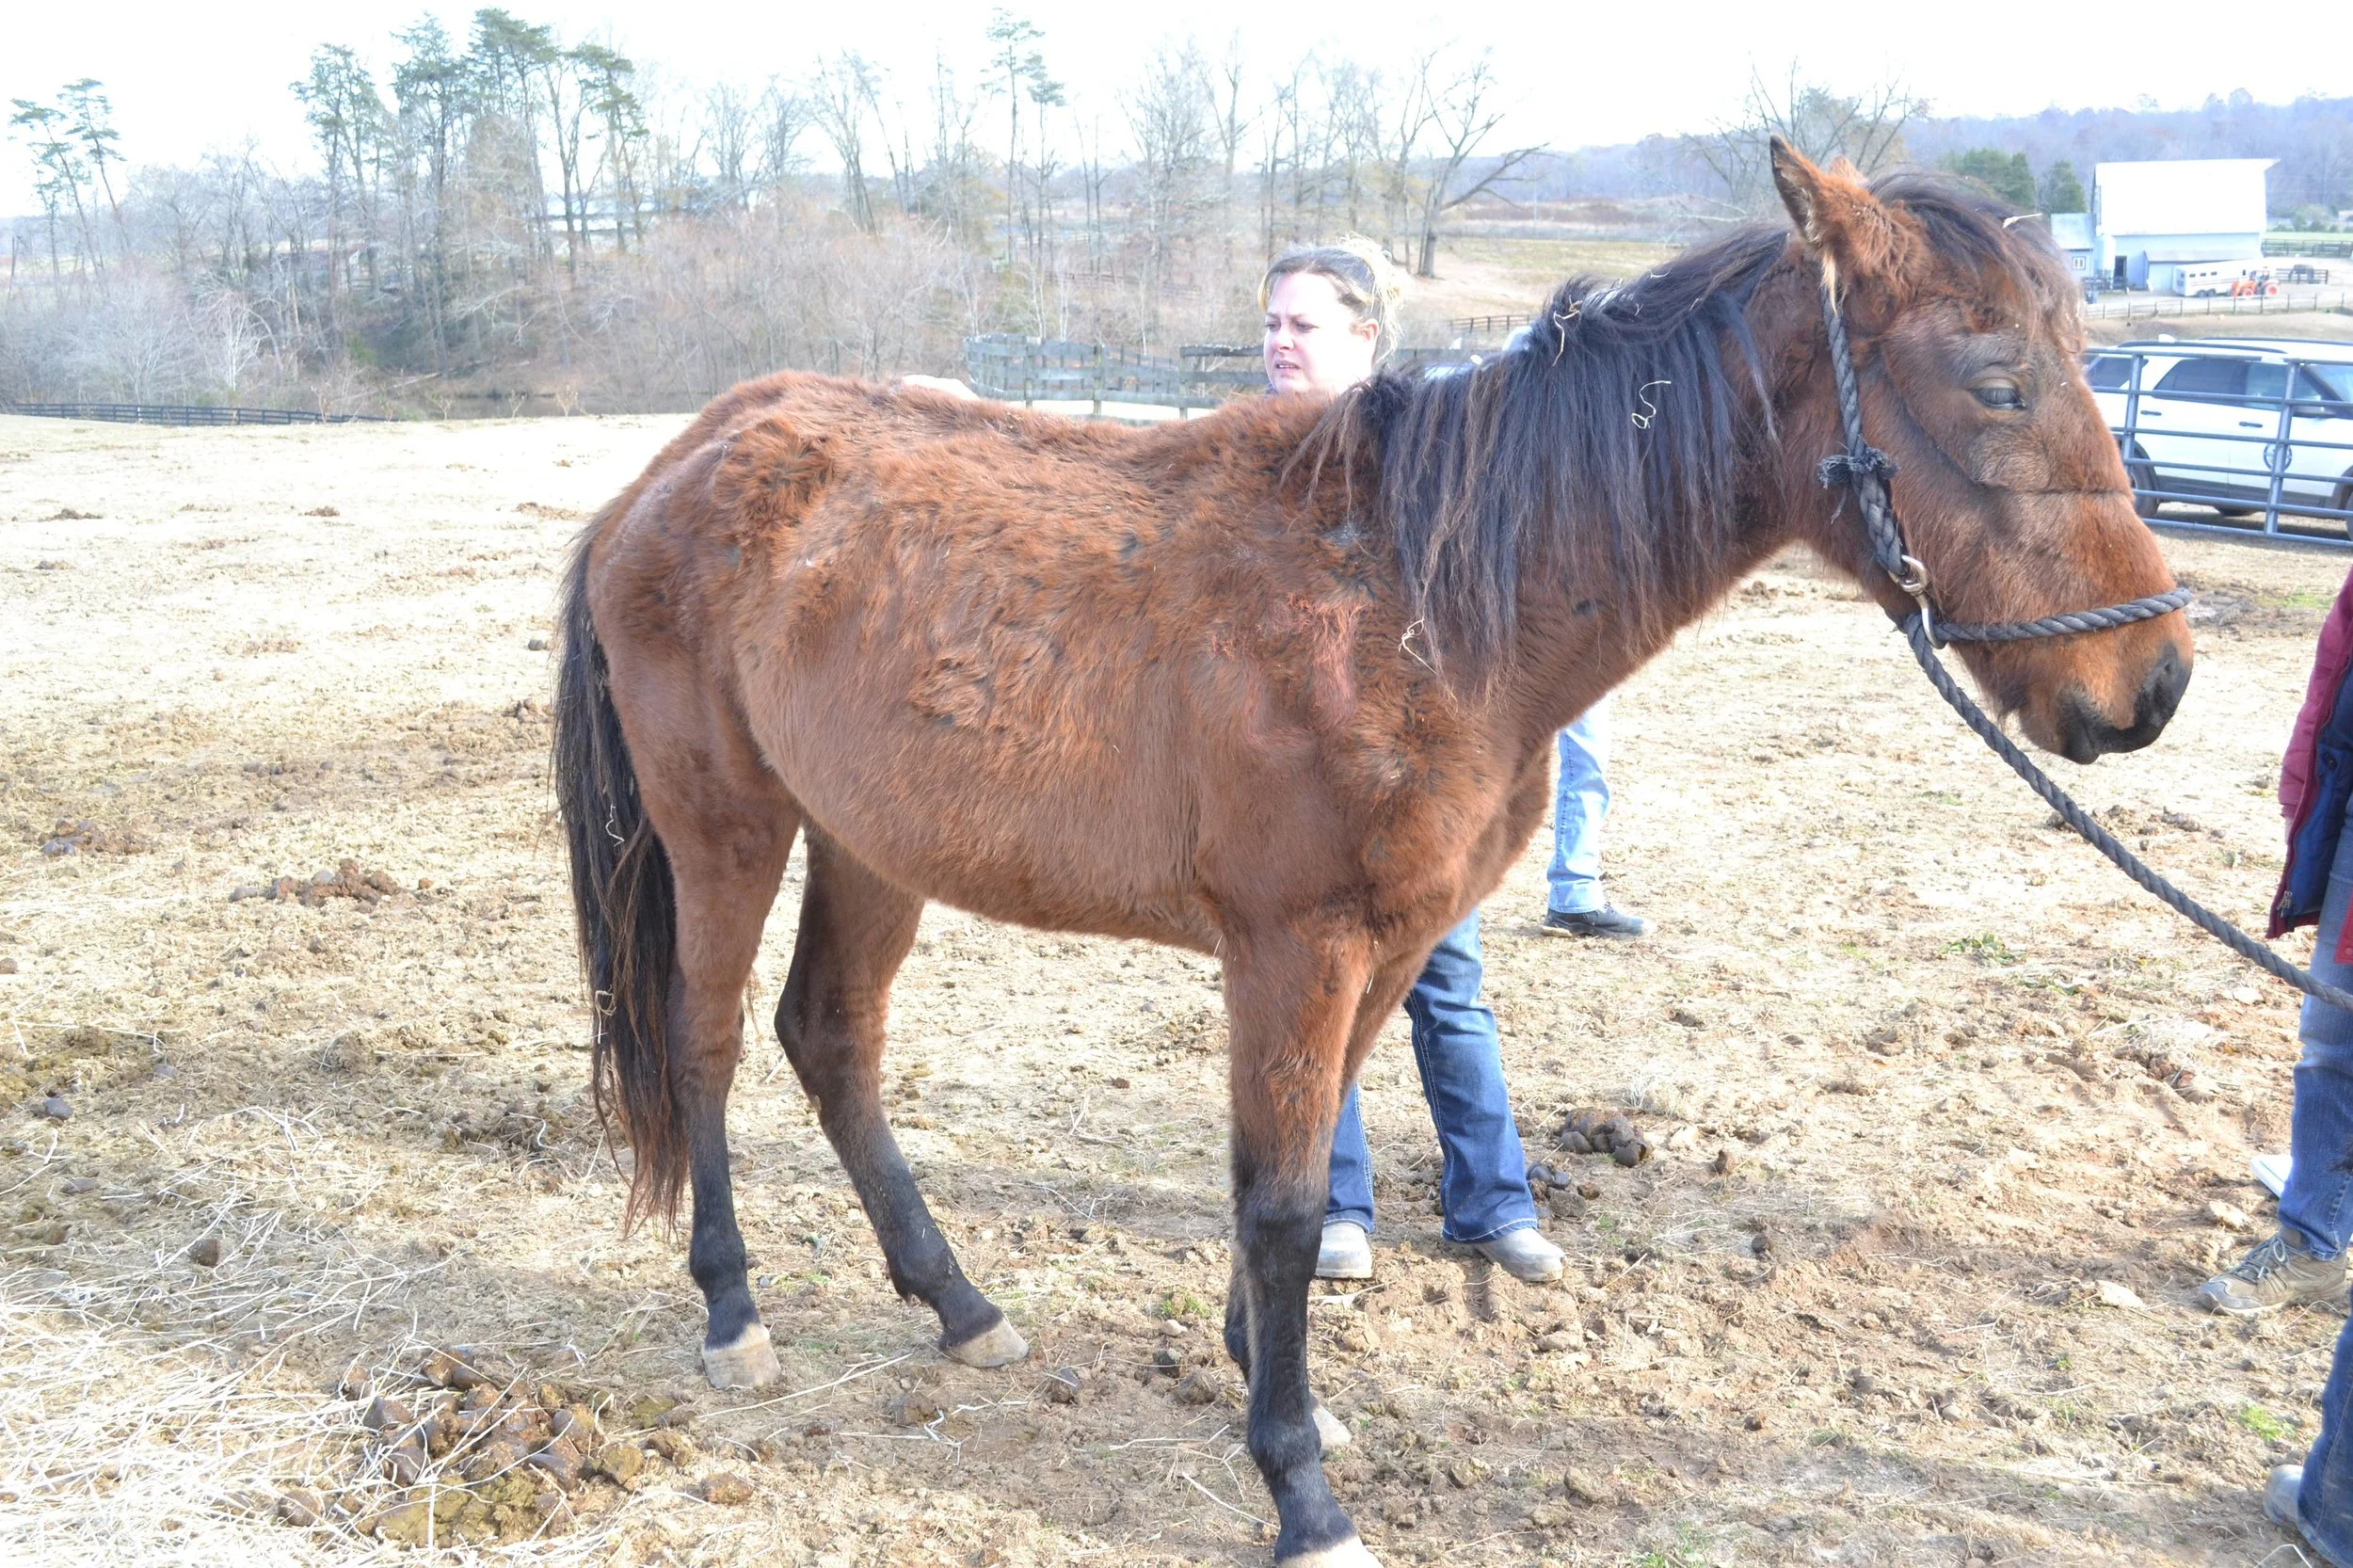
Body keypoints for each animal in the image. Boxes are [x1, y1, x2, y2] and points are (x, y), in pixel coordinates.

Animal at [550, 141, 2191, 1567]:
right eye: (1997, 382)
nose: (2151, 683)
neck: (1420, 595)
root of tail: (674, 468)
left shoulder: (1388, 943)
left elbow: (1299, 1167)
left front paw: (1269, 1380)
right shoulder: (1295, 949)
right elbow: (1283, 1205)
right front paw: (1300, 1489)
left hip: (870, 840)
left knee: (830, 1038)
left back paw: (959, 1303)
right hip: (726, 824)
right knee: (706, 1043)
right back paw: (734, 1315)